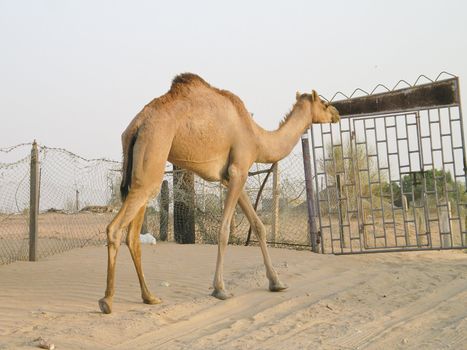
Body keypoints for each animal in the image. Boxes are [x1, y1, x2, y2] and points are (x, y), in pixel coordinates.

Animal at [98, 72, 340, 314]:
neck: (256, 137)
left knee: (133, 236)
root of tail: (136, 126)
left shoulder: (230, 177)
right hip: (153, 154)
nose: (336, 113)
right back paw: (107, 300)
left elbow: (258, 226)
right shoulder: (239, 169)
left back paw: (149, 297)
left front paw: (277, 282)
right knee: (115, 228)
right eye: (324, 103)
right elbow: (224, 230)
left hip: (139, 171)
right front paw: (220, 289)